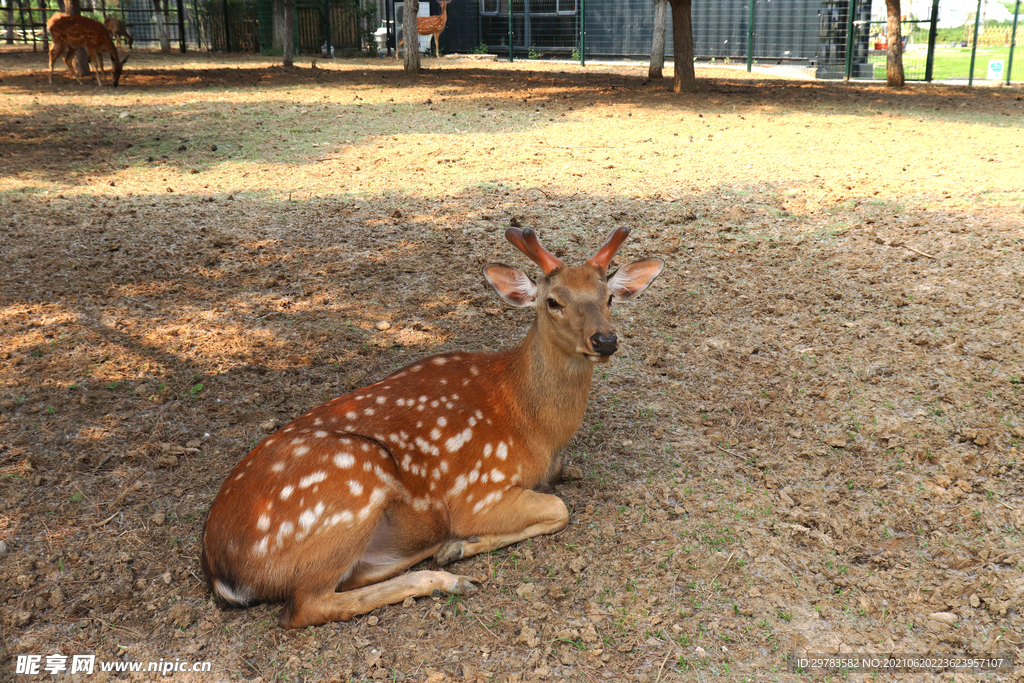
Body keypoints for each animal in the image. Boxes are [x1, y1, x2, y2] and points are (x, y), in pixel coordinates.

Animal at [199, 227, 663, 626]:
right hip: (355, 474)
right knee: (305, 605)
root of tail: (220, 570)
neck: (535, 425)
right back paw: (445, 576)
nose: (605, 340)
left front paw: (456, 545)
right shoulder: (478, 491)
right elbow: (559, 509)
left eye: (609, 297)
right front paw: (462, 544)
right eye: (552, 301)